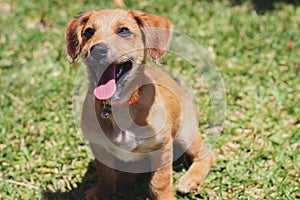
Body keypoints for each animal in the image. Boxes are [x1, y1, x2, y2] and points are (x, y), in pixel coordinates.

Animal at [66, 8, 216, 199]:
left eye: (123, 30)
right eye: (88, 32)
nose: (97, 50)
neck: (120, 107)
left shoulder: (162, 148)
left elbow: (159, 183)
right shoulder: (99, 146)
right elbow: (106, 175)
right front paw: (102, 193)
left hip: (185, 134)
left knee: (207, 154)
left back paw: (190, 180)